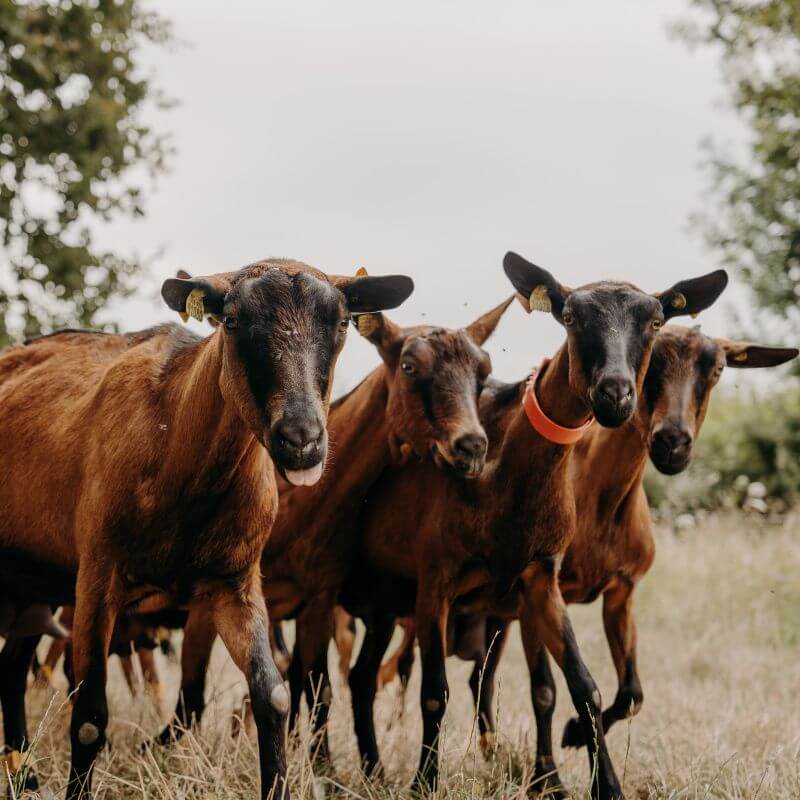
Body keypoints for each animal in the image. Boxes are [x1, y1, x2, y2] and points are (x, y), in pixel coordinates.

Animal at [0, 260, 412, 796]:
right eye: (231, 321)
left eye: (342, 322)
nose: (301, 440)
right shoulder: (97, 576)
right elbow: (89, 716)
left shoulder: (233, 584)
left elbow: (274, 695)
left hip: (37, 582)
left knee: (10, 667)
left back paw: (23, 772)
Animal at [157, 296, 516, 752]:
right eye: (409, 366)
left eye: (482, 370)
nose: (470, 446)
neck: (301, 500)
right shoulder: (218, 599)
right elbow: (193, 693)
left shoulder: (319, 601)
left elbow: (316, 686)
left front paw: (321, 763)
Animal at [340, 253, 728, 796]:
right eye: (570, 317)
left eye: (655, 321)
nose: (614, 394)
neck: (505, 474)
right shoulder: (436, 581)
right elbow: (435, 693)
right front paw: (424, 783)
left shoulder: (541, 579)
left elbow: (582, 686)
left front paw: (599, 782)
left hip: (387, 603)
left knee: (360, 677)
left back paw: (373, 769)